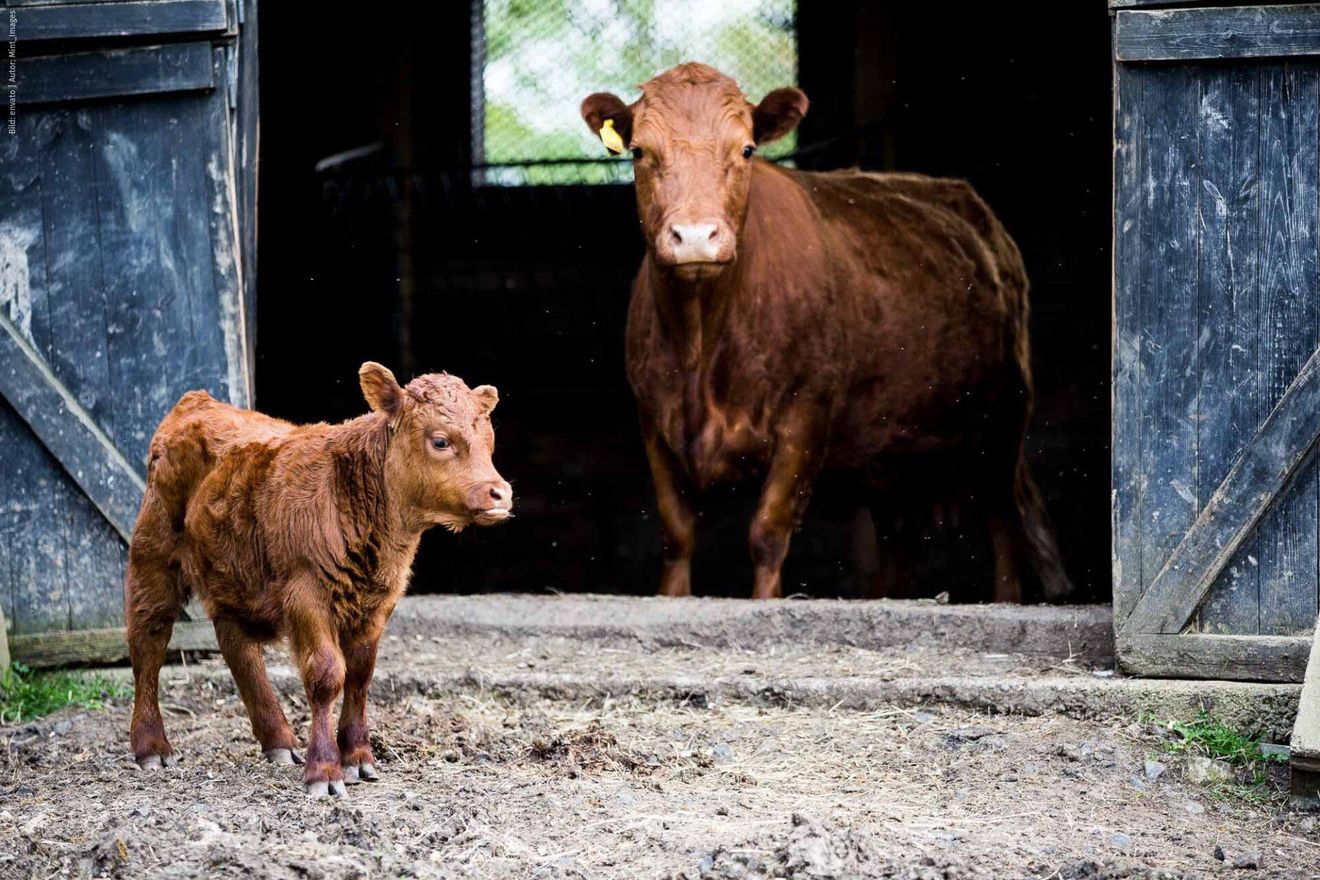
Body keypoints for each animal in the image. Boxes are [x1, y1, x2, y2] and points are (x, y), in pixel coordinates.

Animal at [125, 363, 512, 796]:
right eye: (440, 441)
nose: (500, 493)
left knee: (237, 646)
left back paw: (278, 741)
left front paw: (358, 757)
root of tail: (196, 401)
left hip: (233, 574)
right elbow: (327, 675)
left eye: (489, 441)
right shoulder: (306, 593)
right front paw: (325, 769)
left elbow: (360, 675)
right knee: (149, 641)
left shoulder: (379, 601)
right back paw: (151, 746)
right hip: (154, 555)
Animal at [581, 62, 1070, 603]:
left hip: (1004, 421)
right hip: (892, 450)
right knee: (901, 537)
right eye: (639, 151)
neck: (700, 345)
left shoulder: (806, 415)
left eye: (746, 149)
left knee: (1002, 519)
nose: (694, 237)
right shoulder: (653, 420)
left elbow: (767, 532)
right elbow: (677, 534)